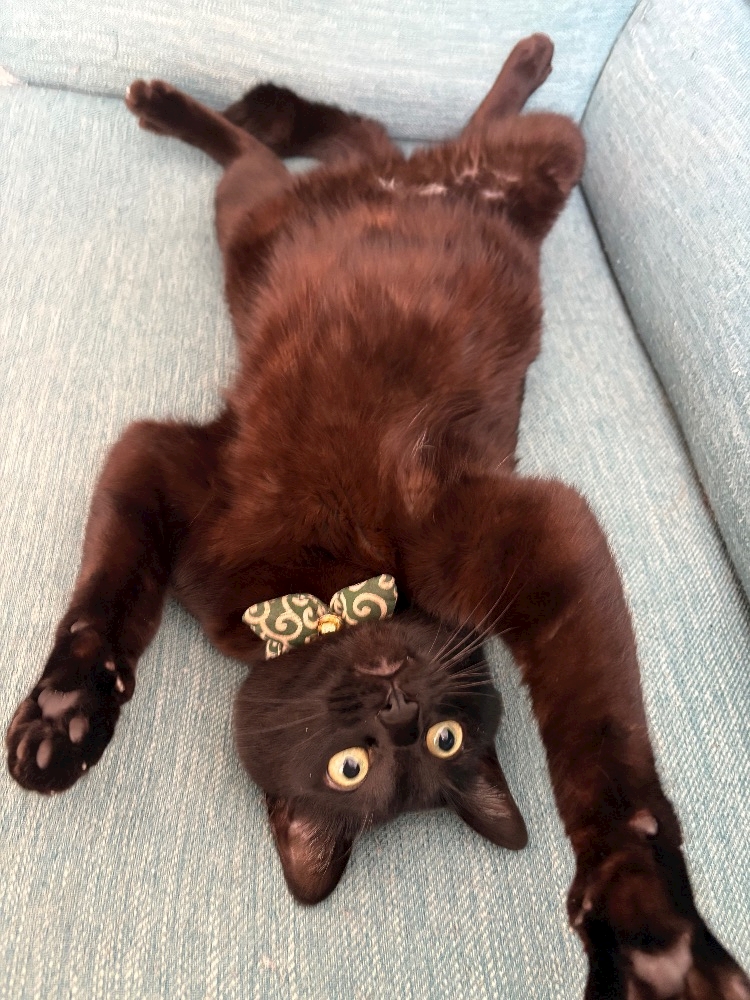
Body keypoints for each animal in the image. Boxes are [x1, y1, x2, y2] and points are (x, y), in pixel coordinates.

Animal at [6, 33, 749, 999]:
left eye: (440, 741)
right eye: (351, 764)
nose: (397, 699)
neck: (326, 593)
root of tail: (427, 181)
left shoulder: (539, 537)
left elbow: (602, 750)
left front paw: (647, 923)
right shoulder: (163, 461)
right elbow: (108, 595)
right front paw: (66, 714)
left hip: (501, 171)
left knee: (375, 137)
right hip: (276, 220)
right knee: (335, 142)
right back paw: (227, 106)